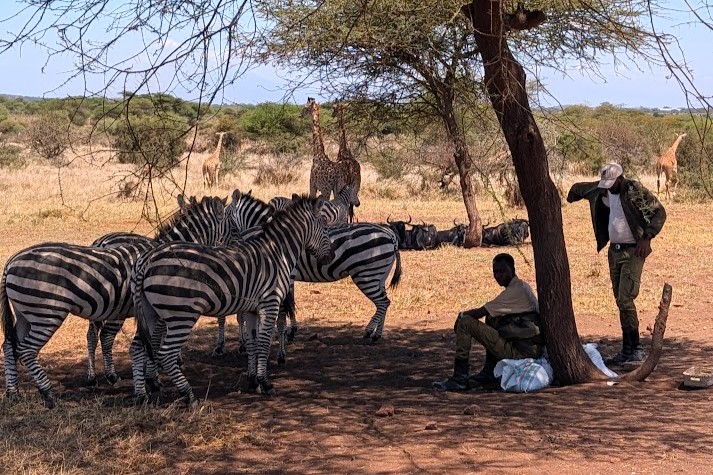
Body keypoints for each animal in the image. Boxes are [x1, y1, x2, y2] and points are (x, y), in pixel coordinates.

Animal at [0, 195, 231, 408]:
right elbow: (151, 343)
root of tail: (11, 261)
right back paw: (48, 393)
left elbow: (148, 344)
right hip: (46, 313)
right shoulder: (160, 311)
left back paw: (13, 392)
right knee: (27, 350)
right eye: (231, 227)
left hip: (25, 313)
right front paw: (153, 380)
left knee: (10, 345)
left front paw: (151, 379)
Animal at [129, 195, 336, 404]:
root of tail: (147, 259)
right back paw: (188, 395)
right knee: (165, 353)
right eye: (325, 227)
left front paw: (253, 381)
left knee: (142, 346)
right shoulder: (270, 302)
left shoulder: (252, 308)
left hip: (151, 313)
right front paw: (266, 383)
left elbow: (254, 342)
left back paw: (149, 391)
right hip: (181, 314)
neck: (277, 254)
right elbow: (264, 342)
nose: (331, 257)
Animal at [220, 223, 400, 364]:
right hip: (379, 275)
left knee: (383, 302)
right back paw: (377, 334)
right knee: (385, 302)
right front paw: (290, 331)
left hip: (366, 274)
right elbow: (289, 305)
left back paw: (369, 331)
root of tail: (389, 234)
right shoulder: (285, 277)